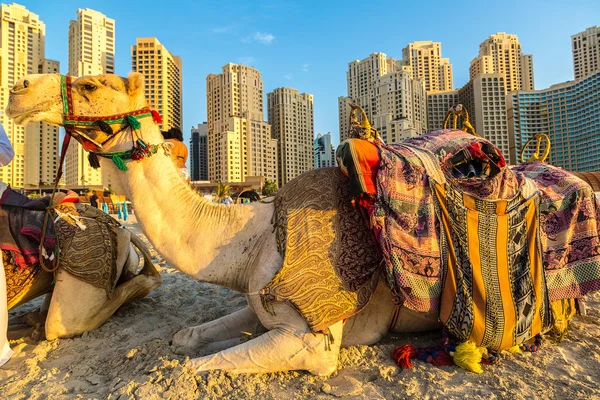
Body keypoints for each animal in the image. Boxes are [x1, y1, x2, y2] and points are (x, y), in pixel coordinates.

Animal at [7, 72, 448, 376]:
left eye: (91, 85)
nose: (18, 88)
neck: (258, 236)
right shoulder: (257, 302)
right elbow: (185, 337)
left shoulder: (312, 343)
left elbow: (191, 366)